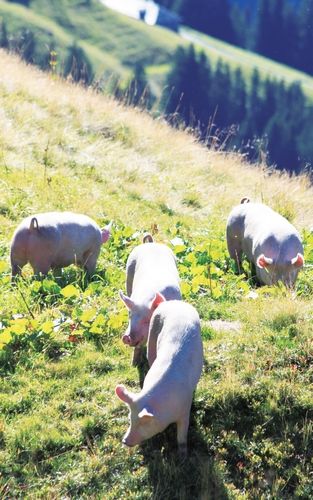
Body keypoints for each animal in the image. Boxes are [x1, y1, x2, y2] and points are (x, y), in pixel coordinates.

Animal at [114, 298, 202, 456]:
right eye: (130, 419)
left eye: (144, 423)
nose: (124, 440)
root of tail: (174, 302)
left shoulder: (185, 409)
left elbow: (182, 435)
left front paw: (183, 456)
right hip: (152, 332)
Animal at [119, 234, 180, 368]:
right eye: (130, 316)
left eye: (147, 320)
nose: (126, 337)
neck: (146, 299)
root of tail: (151, 243)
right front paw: (133, 365)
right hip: (128, 272)